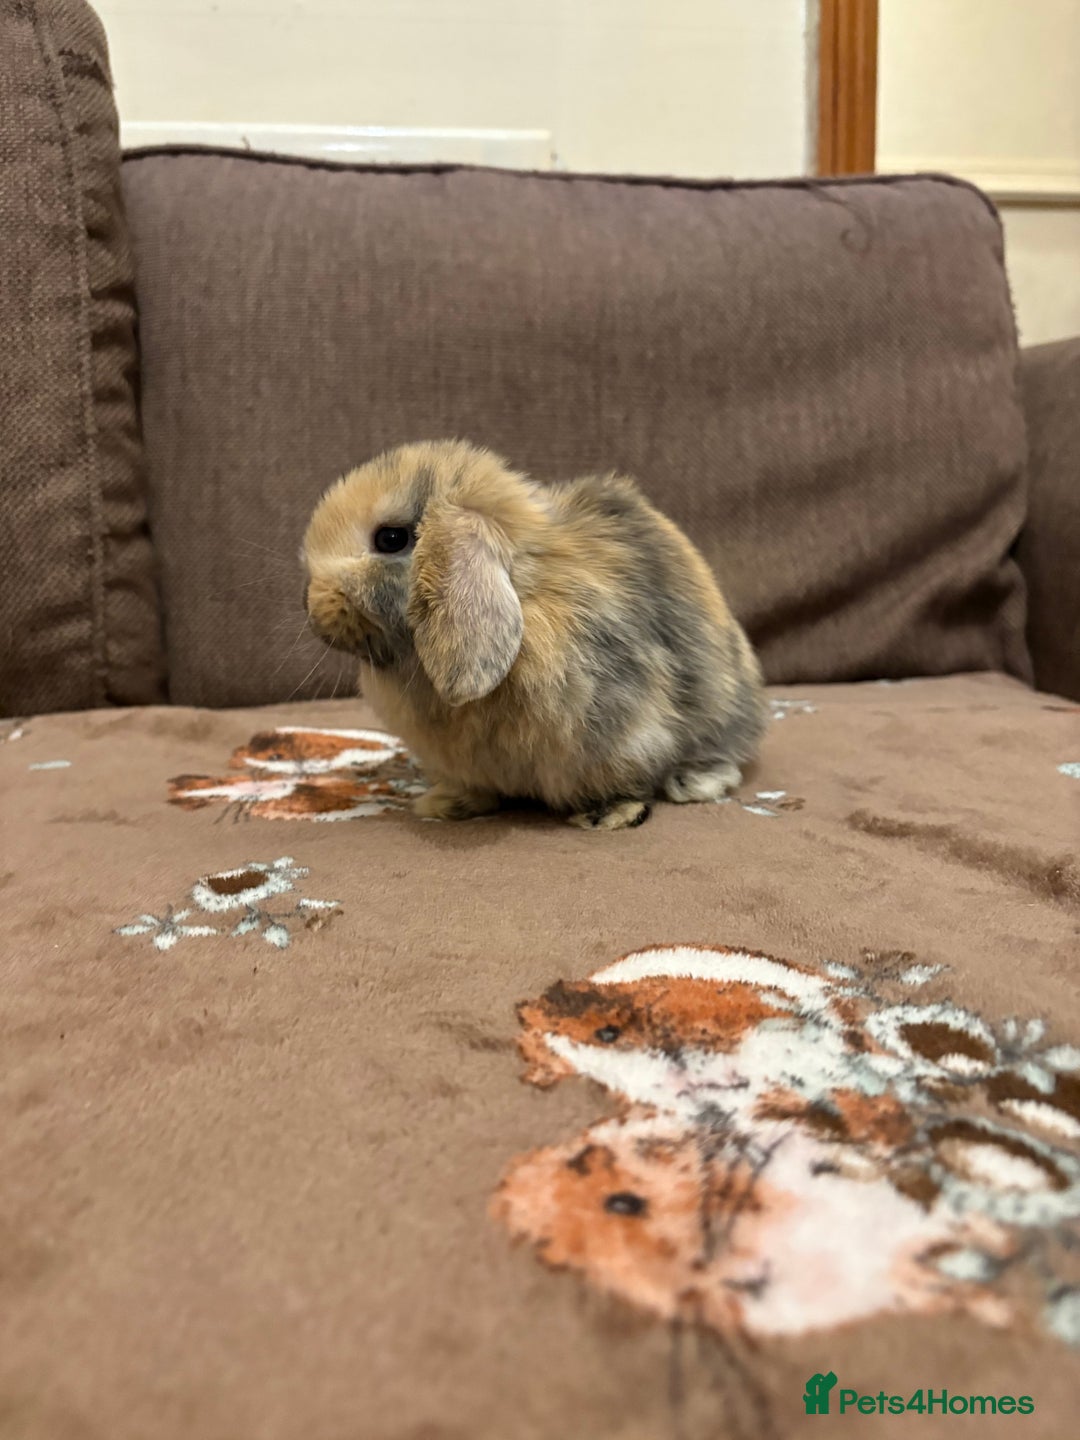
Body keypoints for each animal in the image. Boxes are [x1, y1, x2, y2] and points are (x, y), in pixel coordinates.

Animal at [303, 439, 765, 830]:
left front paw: (607, 814)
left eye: (391, 538)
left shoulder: (629, 732)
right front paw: (444, 804)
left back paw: (694, 781)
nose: (312, 608)